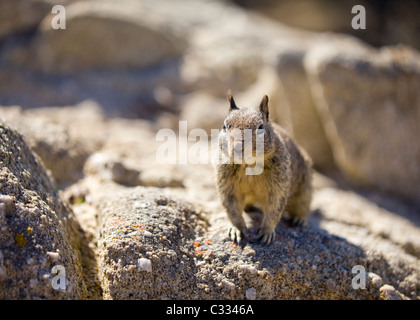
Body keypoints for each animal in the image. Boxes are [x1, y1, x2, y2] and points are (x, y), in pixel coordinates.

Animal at [215, 92, 314, 245]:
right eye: (225, 126)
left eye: (260, 127)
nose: (237, 148)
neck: (249, 164)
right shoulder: (227, 184)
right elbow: (231, 207)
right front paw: (237, 229)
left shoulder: (279, 185)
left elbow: (274, 209)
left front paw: (267, 232)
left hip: (305, 189)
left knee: (303, 205)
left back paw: (299, 220)